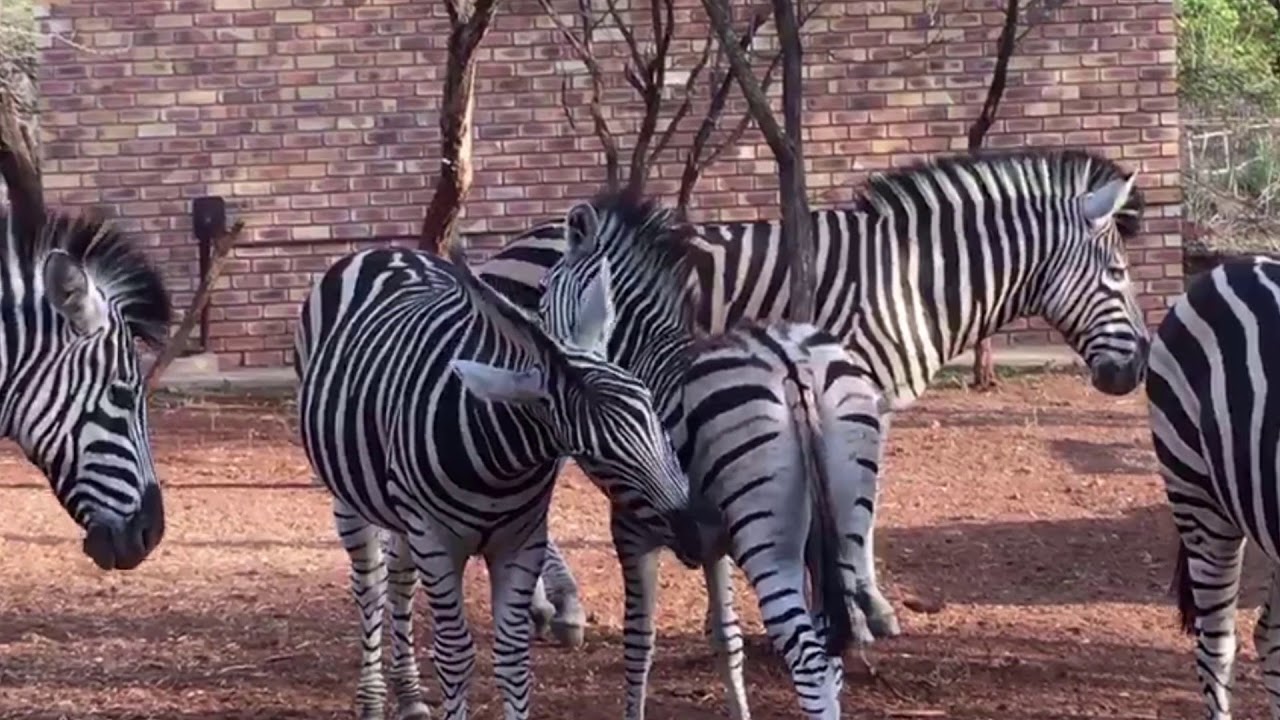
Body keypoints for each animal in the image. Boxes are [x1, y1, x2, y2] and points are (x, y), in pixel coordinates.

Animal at [293, 242, 707, 720]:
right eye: (593, 456)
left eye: (656, 414)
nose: (698, 532)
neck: (501, 463)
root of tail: (385, 249)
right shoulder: (437, 541)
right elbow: (455, 654)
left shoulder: (520, 541)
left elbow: (512, 657)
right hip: (351, 498)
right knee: (371, 584)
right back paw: (373, 698)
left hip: (402, 513)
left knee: (399, 579)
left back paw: (410, 696)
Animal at [490, 147, 1154, 646]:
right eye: (1118, 275)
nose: (1140, 367)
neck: (909, 279)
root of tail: (509, 248)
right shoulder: (855, 392)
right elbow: (856, 506)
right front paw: (863, 607)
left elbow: (852, 504)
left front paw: (851, 601)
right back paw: (560, 607)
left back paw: (548, 607)